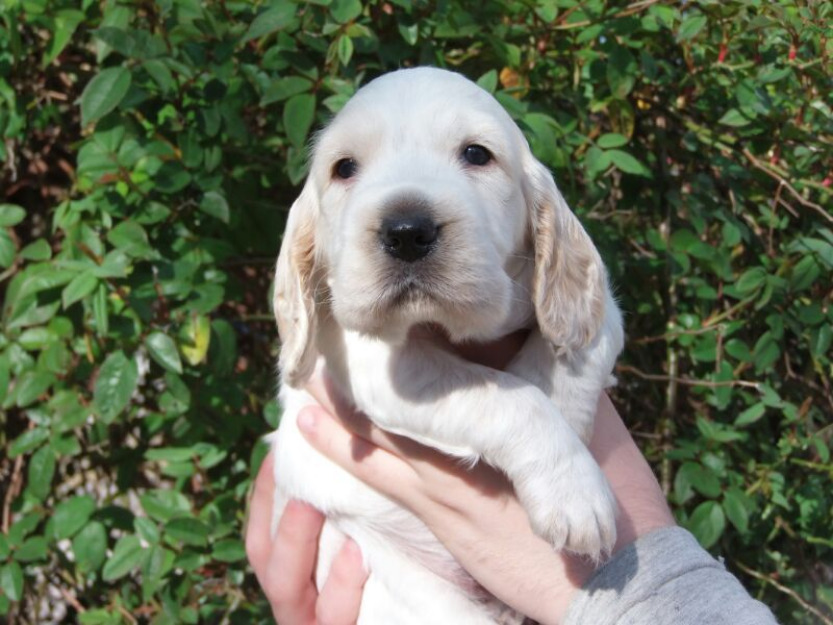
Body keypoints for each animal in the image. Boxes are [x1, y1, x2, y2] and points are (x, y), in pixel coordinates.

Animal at [272, 66, 624, 620]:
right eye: (344, 167)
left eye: (477, 154)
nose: (406, 231)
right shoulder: (376, 364)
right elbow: (510, 397)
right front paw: (575, 493)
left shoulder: (601, 311)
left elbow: (565, 363)